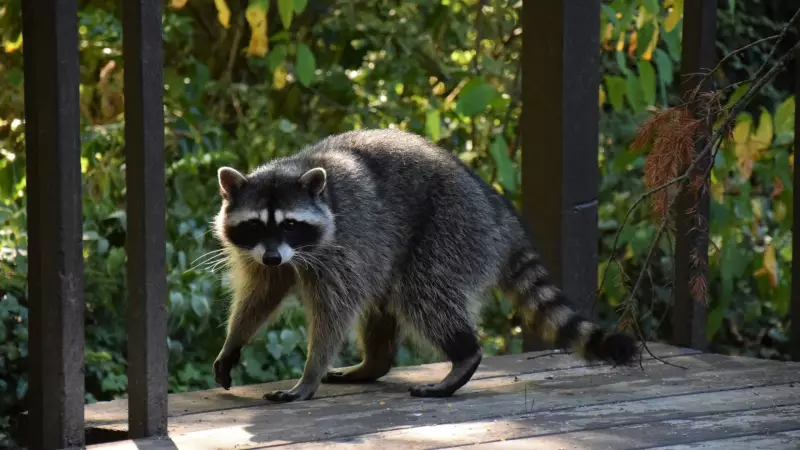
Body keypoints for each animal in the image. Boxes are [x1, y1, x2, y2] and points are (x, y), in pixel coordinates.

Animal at [211, 129, 636, 402]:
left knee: (423, 294)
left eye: (290, 224)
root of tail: (498, 212)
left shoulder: (343, 247)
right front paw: (234, 341)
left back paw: (463, 355)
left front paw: (309, 373)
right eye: (255, 225)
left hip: (450, 229)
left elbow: (334, 312)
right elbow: (261, 295)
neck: (296, 167)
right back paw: (375, 363)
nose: (272, 256)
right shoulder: (265, 255)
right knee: (384, 303)